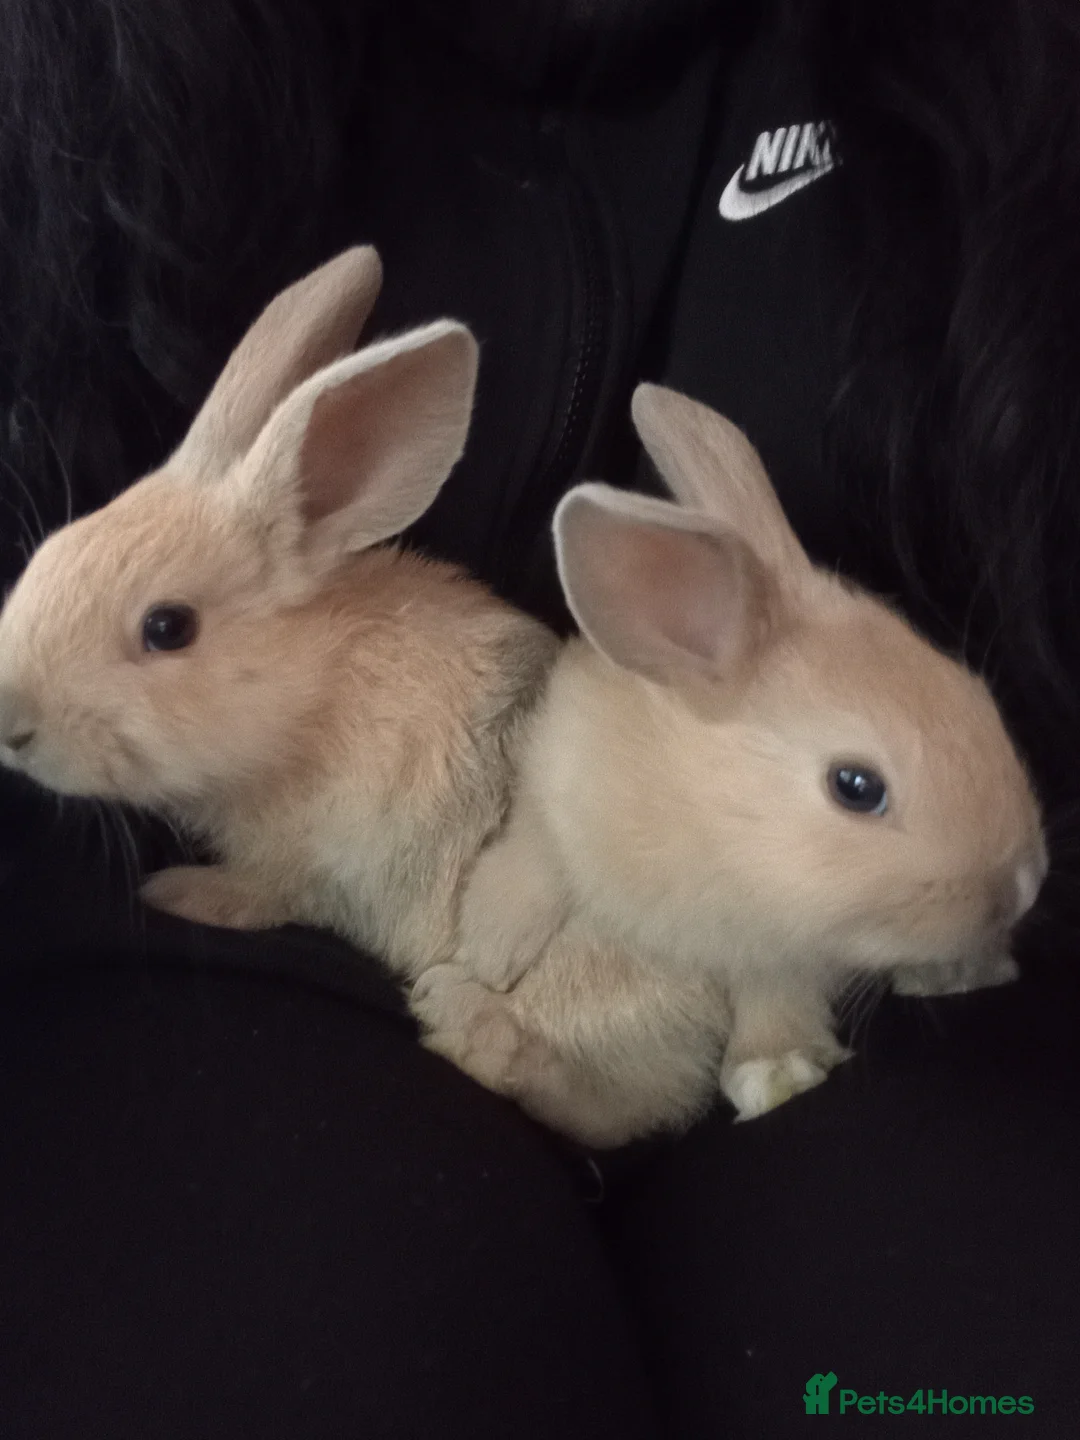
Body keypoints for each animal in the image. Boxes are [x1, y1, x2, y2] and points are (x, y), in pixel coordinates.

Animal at [0, 246, 558, 980]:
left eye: (167, 627)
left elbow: (269, 894)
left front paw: (182, 892)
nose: (11, 723)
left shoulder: (322, 865)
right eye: (51, 550)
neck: (319, 695)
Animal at [412, 383, 1048, 1144]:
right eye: (855, 786)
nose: (1024, 886)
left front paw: (777, 1074)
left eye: (982, 699)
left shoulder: (787, 954)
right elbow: (533, 863)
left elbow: (777, 1001)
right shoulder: (554, 790)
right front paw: (489, 951)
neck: (715, 822)